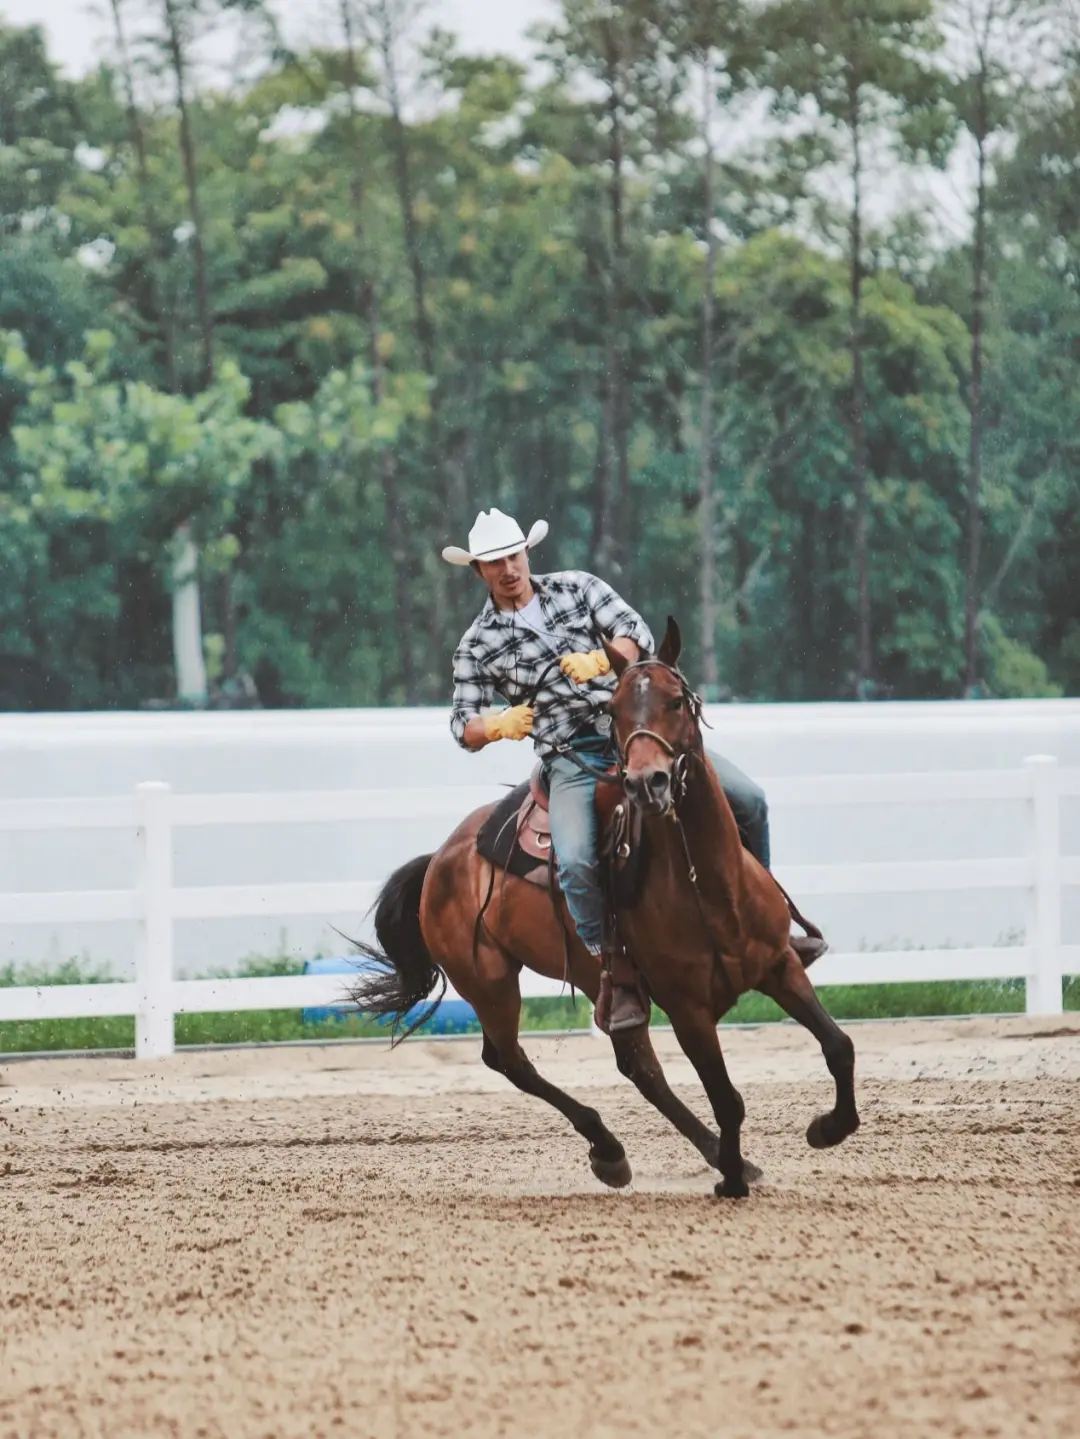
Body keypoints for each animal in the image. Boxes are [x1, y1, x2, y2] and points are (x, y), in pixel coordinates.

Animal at [355, 618, 862, 1191]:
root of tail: (440, 859)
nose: (647, 783)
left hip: (600, 982)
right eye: (615, 710)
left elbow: (838, 1046)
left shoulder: (779, 966)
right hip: (489, 983)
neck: (707, 886)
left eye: (675, 701)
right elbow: (727, 1099)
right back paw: (610, 1147)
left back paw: (687, 1153)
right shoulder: (688, 1009)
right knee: (510, 1060)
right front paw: (731, 1181)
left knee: (637, 1069)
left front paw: (828, 1128)